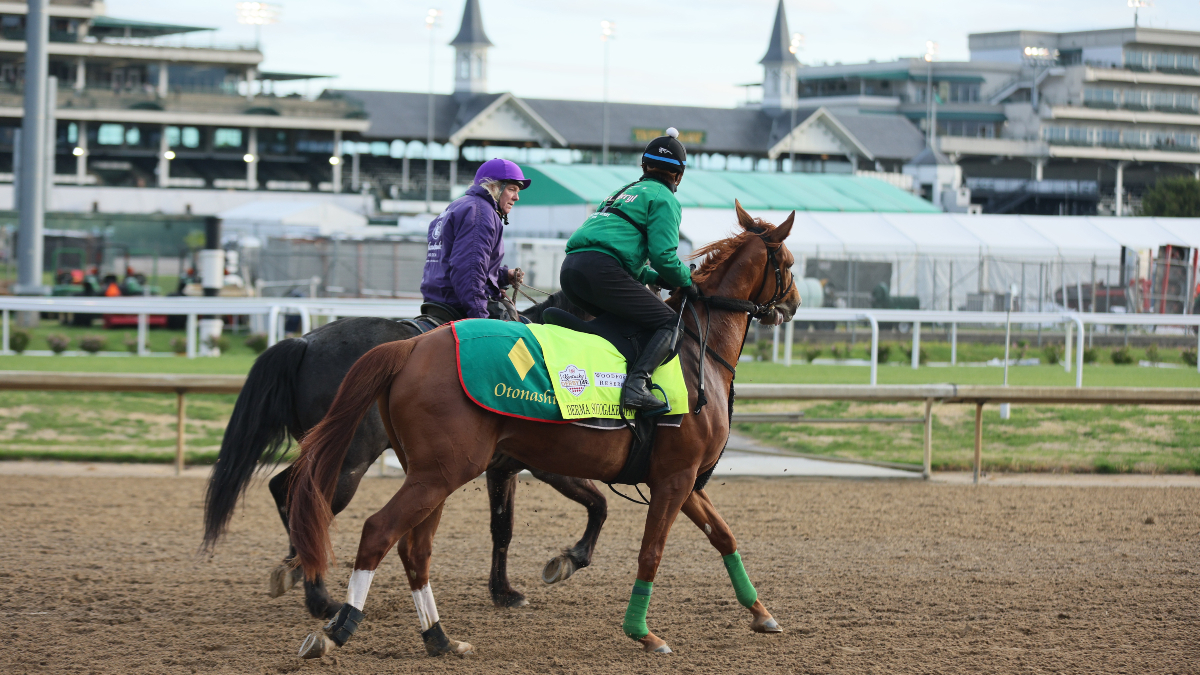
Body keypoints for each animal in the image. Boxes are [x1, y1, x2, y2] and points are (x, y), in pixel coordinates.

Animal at [202, 291, 609, 619]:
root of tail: (305, 342)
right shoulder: (549, 466)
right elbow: (599, 504)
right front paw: (569, 560)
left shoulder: (503, 470)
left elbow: (502, 528)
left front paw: (503, 592)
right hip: (347, 464)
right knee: (309, 505)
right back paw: (320, 598)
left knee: (284, 489)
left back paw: (297, 569)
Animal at [286, 200, 801, 658]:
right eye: (789, 263)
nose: (794, 304)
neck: (697, 349)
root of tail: (410, 348)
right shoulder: (672, 479)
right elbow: (650, 551)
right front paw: (642, 633)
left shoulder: (684, 479)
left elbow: (724, 536)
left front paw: (761, 613)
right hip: (431, 471)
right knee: (376, 530)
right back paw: (337, 626)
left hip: (431, 473)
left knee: (415, 549)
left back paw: (439, 638)